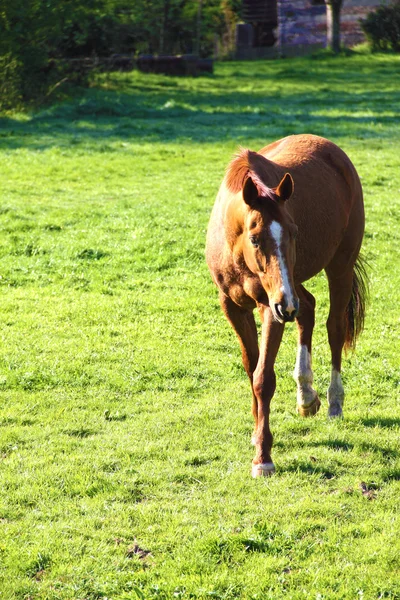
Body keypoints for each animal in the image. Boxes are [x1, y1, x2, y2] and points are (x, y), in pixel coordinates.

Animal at [206, 135, 368, 478]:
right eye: (255, 239)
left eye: (294, 232)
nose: (285, 306)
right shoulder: (234, 307)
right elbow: (251, 368)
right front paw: (257, 433)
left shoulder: (271, 308)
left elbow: (263, 378)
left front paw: (263, 456)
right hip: (293, 289)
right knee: (307, 308)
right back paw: (306, 396)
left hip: (338, 266)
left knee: (333, 328)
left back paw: (334, 402)